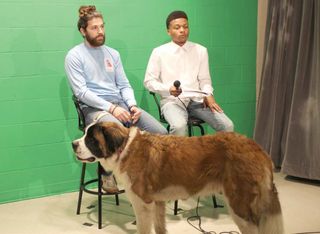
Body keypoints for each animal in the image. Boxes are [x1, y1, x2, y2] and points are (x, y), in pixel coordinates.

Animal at [72, 121, 282, 234]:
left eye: (91, 139)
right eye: (85, 134)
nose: (74, 144)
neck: (124, 149)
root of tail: (257, 147)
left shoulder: (143, 205)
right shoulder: (157, 203)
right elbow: (159, 228)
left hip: (240, 207)